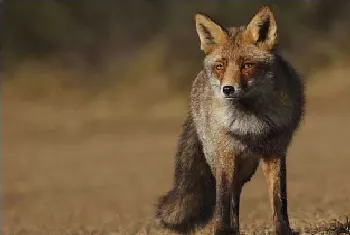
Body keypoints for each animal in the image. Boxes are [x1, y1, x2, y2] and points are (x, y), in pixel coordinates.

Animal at [154, 5, 304, 235]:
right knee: (230, 194)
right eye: (220, 67)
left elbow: (279, 198)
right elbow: (223, 199)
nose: (227, 89)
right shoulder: (226, 154)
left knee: (238, 191)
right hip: (218, 158)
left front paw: (282, 229)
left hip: (247, 166)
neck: (251, 121)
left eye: (247, 65)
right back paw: (231, 228)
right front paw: (222, 229)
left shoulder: (275, 152)